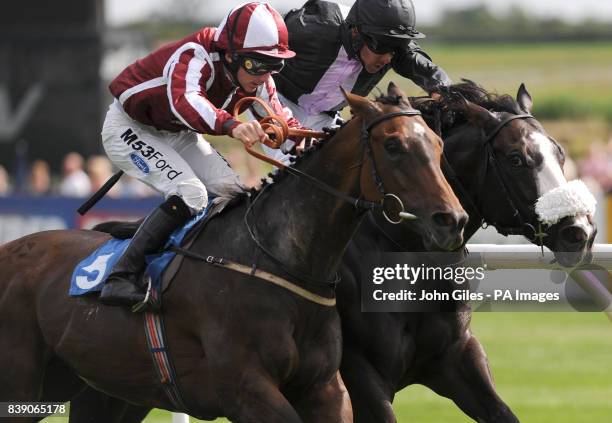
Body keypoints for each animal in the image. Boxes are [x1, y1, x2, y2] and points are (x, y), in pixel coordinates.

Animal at [0, 88, 464, 422]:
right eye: (393, 145)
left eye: (438, 143)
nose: (452, 220)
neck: (278, 260)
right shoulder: (246, 390)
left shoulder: (324, 389)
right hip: (21, 385)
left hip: (92, 387)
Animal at [334, 81, 596, 422]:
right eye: (516, 158)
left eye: (560, 154)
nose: (580, 232)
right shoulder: (360, 370)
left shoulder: (457, 356)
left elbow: (502, 413)